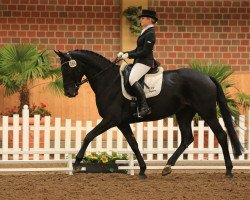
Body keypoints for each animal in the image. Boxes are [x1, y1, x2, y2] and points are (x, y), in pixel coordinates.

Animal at [55, 49, 244, 178]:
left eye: (67, 69)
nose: (69, 93)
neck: (108, 81)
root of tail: (207, 76)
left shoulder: (111, 119)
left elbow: (88, 136)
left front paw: (77, 163)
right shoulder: (122, 122)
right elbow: (133, 143)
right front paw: (142, 170)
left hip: (207, 111)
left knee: (221, 134)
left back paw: (228, 170)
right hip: (184, 114)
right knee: (187, 138)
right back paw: (167, 167)